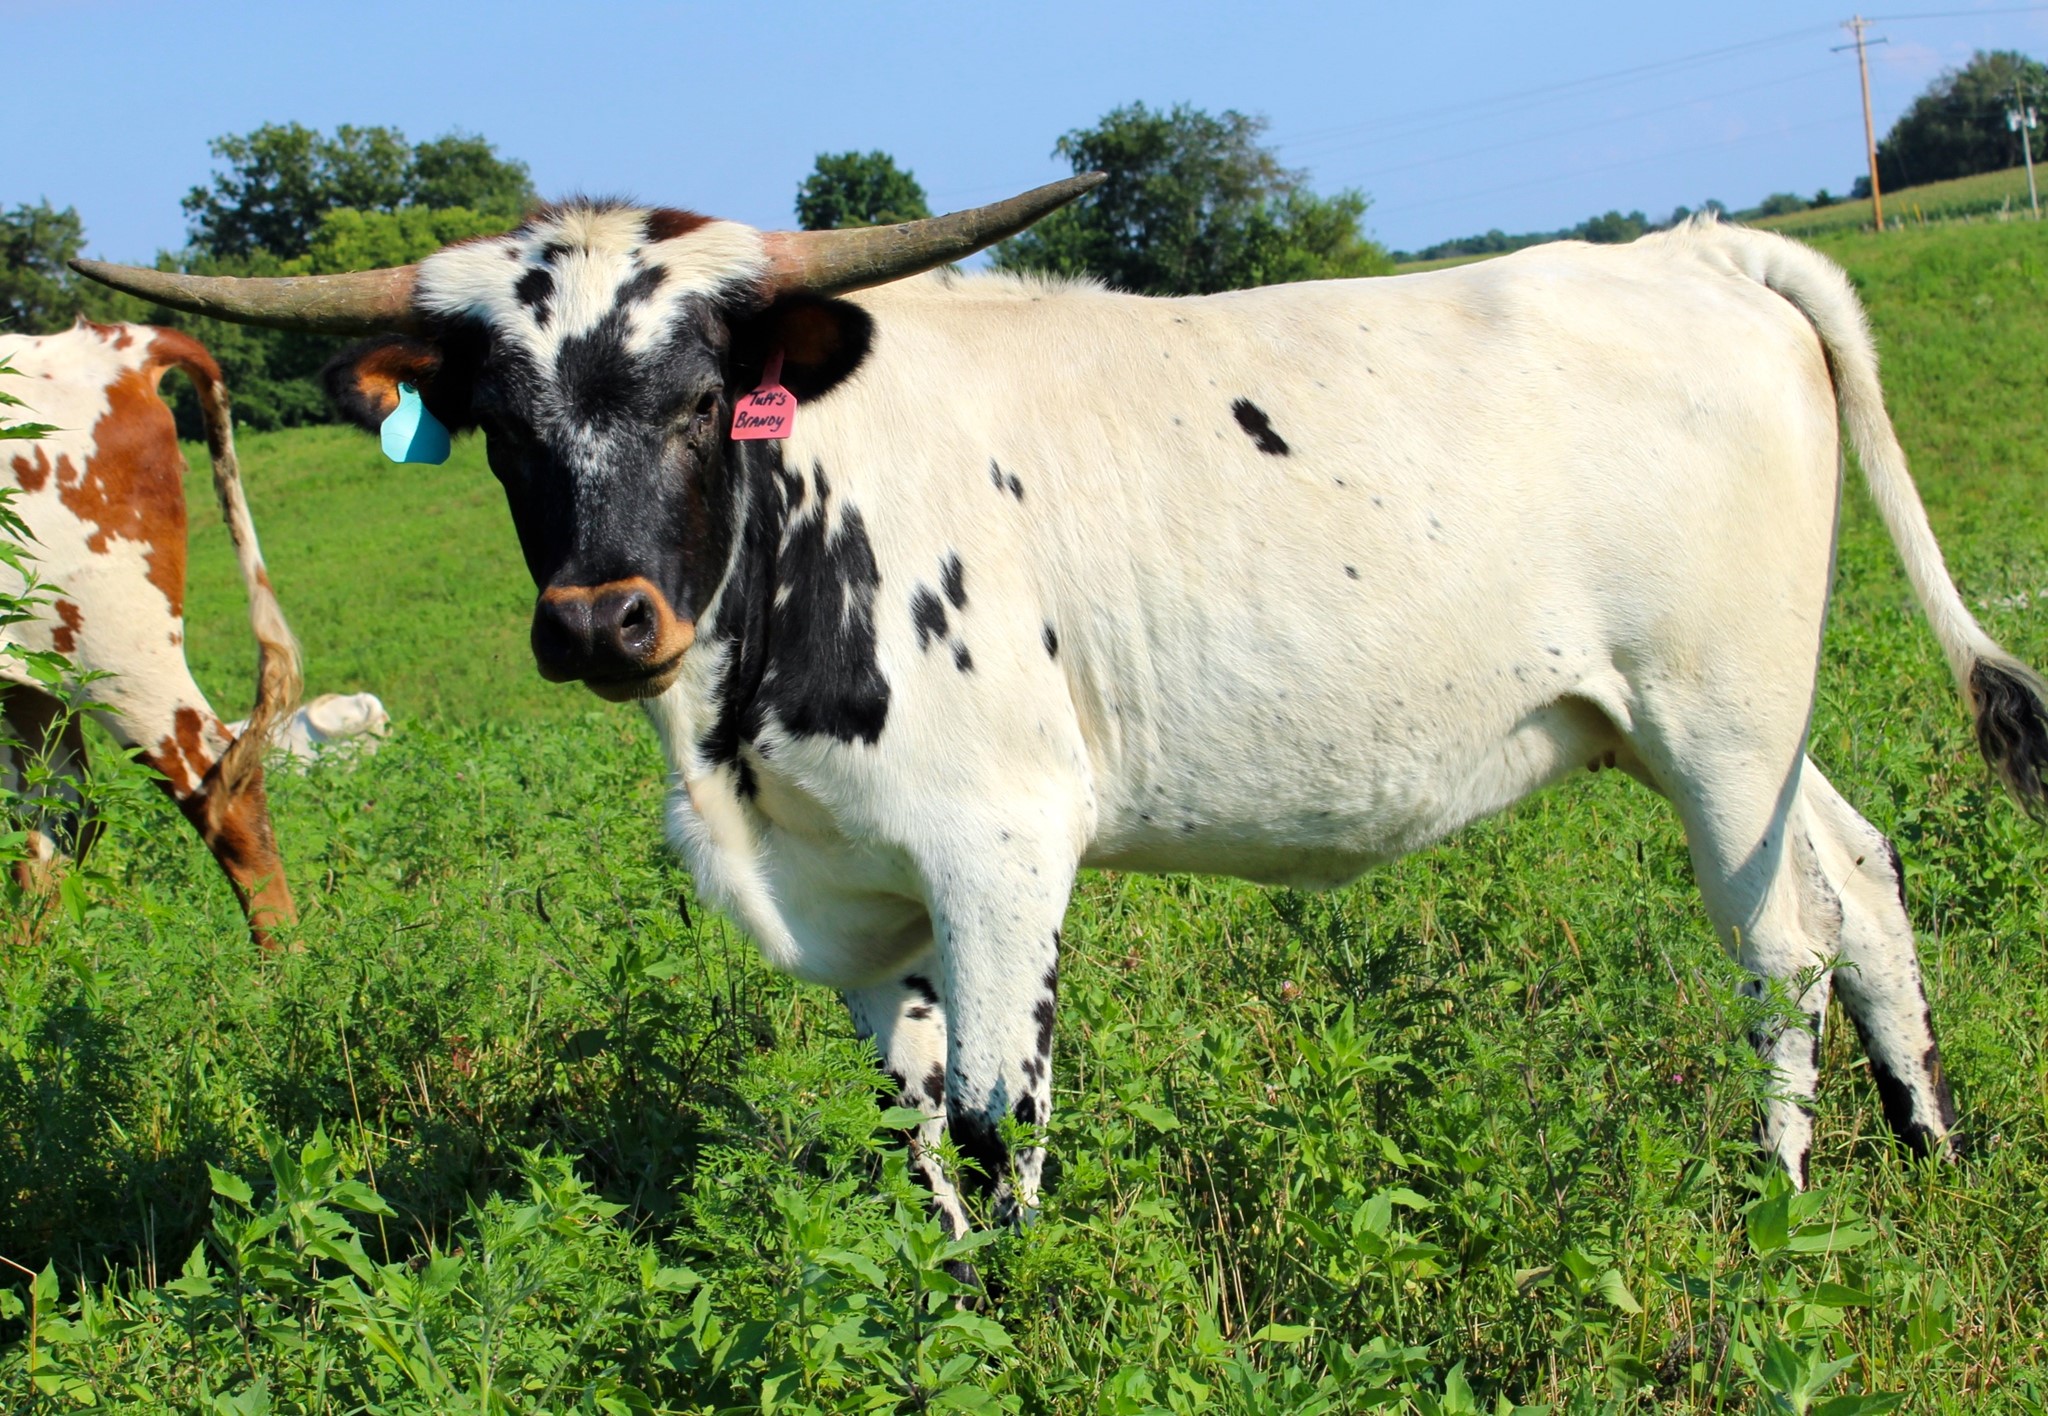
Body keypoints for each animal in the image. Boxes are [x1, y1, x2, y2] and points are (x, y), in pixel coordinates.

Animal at [1, 321, 301, 947]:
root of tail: (128, 347)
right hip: (36, 668)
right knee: (52, 811)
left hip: (114, 650)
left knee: (216, 780)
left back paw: (291, 968)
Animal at [76, 178, 2048, 1230]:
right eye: (499, 419)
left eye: (708, 392)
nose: (600, 618)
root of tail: (1691, 249)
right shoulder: (860, 897)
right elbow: (902, 1117)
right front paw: (942, 1297)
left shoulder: (1002, 844)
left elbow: (993, 1104)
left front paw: (1023, 1293)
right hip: (1721, 731)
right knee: (1865, 881)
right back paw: (1926, 1144)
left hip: (1715, 724)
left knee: (1780, 944)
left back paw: (1786, 1196)